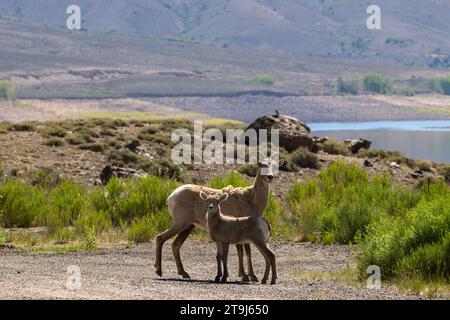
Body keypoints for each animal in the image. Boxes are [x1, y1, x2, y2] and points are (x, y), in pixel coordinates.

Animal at [154, 156, 282, 282]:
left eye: (275, 165)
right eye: (261, 165)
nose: (270, 177)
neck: (251, 200)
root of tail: (171, 197)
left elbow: (241, 251)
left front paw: (243, 275)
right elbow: (245, 251)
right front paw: (250, 276)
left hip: (188, 227)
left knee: (175, 245)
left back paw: (183, 273)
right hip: (181, 224)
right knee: (161, 238)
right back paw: (159, 271)